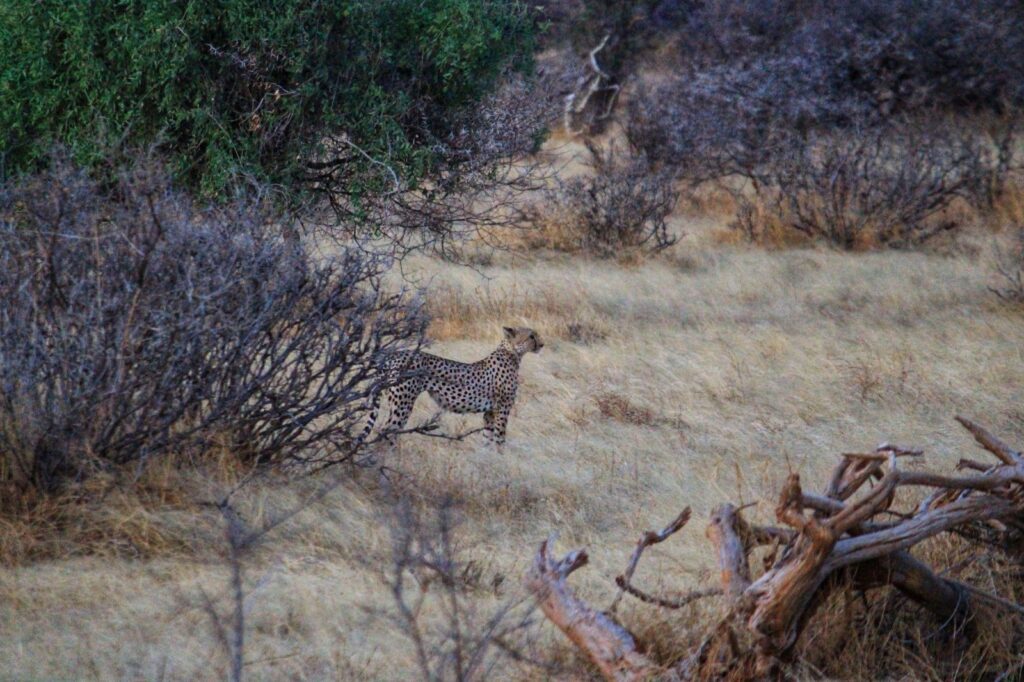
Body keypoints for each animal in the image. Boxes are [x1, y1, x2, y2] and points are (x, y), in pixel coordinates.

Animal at [360, 325, 544, 444]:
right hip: (402, 404)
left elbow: (487, 440)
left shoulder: (490, 413)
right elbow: (499, 441)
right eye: (531, 336)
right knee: (385, 431)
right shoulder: (503, 409)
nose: (542, 345)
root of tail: (392, 355)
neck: (512, 353)